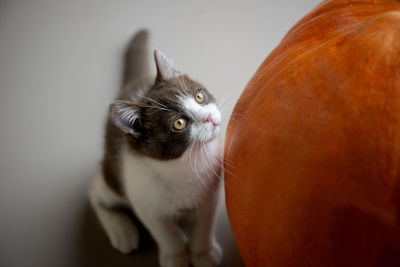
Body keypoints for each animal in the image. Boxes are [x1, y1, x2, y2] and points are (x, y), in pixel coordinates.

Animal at [88, 29, 223, 267]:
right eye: (179, 123)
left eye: (199, 96)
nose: (209, 117)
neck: (185, 165)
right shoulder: (143, 198)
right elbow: (163, 230)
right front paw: (176, 255)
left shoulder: (212, 190)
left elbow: (206, 222)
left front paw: (203, 252)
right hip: (113, 176)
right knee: (96, 193)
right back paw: (122, 231)